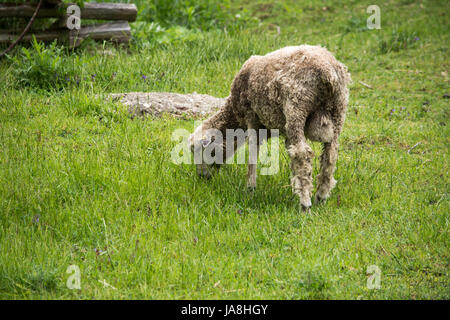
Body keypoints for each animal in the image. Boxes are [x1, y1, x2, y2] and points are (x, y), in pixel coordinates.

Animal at [188, 45, 350, 210]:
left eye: (198, 150)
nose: (202, 178)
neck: (234, 113)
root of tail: (327, 72)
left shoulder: (251, 116)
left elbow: (253, 152)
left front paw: (250, 188)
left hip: (297, 107)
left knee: (302, 153)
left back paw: (305, 204)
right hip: (338, 110)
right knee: (330, 155)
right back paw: (320, 197)